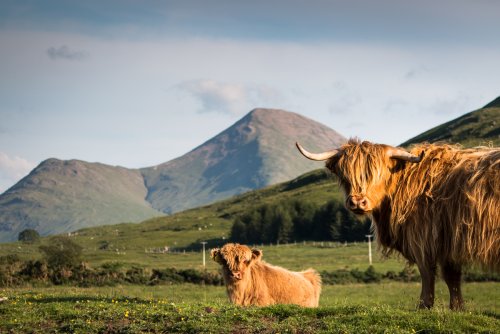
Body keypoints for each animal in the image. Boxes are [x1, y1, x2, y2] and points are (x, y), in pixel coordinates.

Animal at [294, 139, 498, 310]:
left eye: (377, 175)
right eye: (346, 176)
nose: (358, 202)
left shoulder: (424, 238)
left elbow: (428, 272)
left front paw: (424, 306)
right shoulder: (447, 243)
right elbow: (452, 277)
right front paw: (457, 308)